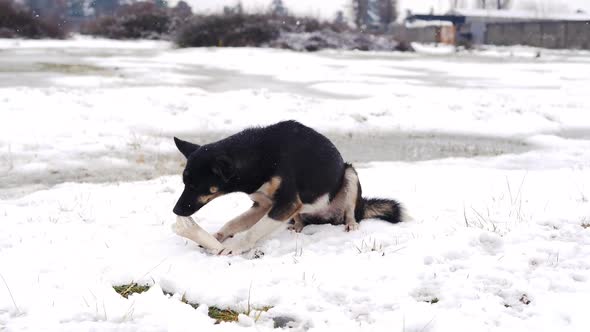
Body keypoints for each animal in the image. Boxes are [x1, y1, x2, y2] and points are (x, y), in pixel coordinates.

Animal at [173, 121, 404, 254]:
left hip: (349, 174)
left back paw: (351, 225)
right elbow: (234, 223)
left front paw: (233, 249)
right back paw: (297, 227)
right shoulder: (263, 205)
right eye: (184, 183)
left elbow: (251, 232)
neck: (259, 156)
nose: (175, 210)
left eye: (195, 186)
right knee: (300, 219)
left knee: (350, 212)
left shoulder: (287, 203)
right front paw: (216, 237)